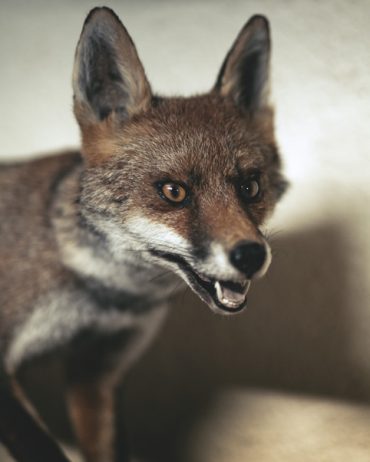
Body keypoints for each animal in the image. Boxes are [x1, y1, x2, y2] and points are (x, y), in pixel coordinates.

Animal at [0, 6, 286, 462]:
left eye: (250, 187)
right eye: (174, 192)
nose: (251, 255)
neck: (110, 296)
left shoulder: (96, 372)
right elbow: (43, 449)